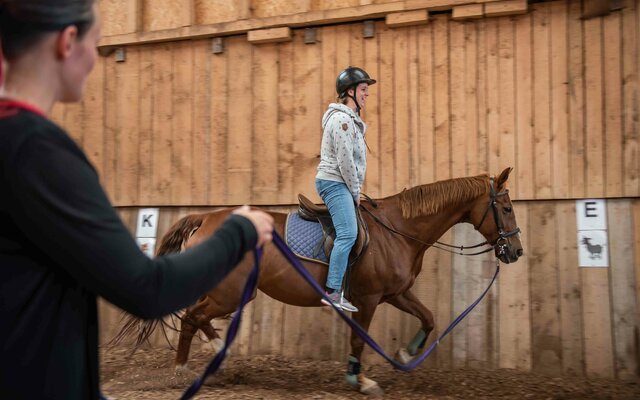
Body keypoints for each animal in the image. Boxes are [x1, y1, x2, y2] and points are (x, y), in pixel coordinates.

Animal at [124, 168, 520, 394]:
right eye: (507, 208)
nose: (514, 251)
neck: (398, 230)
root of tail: (206, 219)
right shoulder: (368, 299)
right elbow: (359, 340)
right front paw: (360, 380)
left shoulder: (396, 293)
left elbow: (429, 317)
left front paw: (406, 353)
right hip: (229, 293)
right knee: (192, 316)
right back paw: (182, 368)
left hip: (233, 292)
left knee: (197, 314)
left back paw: (217, 348)